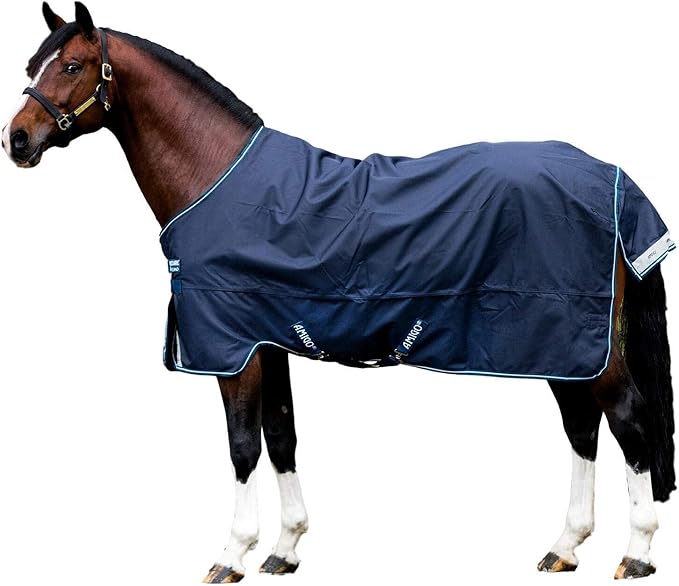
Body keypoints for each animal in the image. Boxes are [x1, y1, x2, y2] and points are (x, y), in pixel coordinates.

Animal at [2, 3, 675, 583]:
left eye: (72, 65)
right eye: (32, 66)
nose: (17, 141)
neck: (218, 178)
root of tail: (613, 178)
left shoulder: (232, 348)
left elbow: (243, 446)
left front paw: (232, 555)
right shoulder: (269, 343)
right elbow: (282, 436)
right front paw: (285, 548)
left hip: (579, 344)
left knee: (628, 419)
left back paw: (637, 553)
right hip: (560, 346)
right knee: (583, 428)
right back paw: (565, 547)